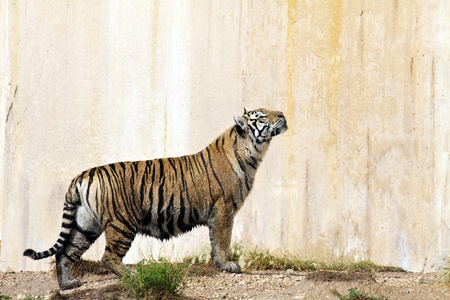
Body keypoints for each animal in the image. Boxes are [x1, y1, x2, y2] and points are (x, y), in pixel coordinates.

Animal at [22, 107, 288, 288]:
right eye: (261, 116)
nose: (283, 115)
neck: (252, 153)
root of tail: (83, 174)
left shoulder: (219, 213)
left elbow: (215, 241)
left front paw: (221, 263)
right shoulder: (224, 210)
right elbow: (222, 240)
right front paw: (227, 265)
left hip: (85, 225)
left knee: (64, 253)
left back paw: (67, 284)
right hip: (122, 223)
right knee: (108, 256)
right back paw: (132, 276)